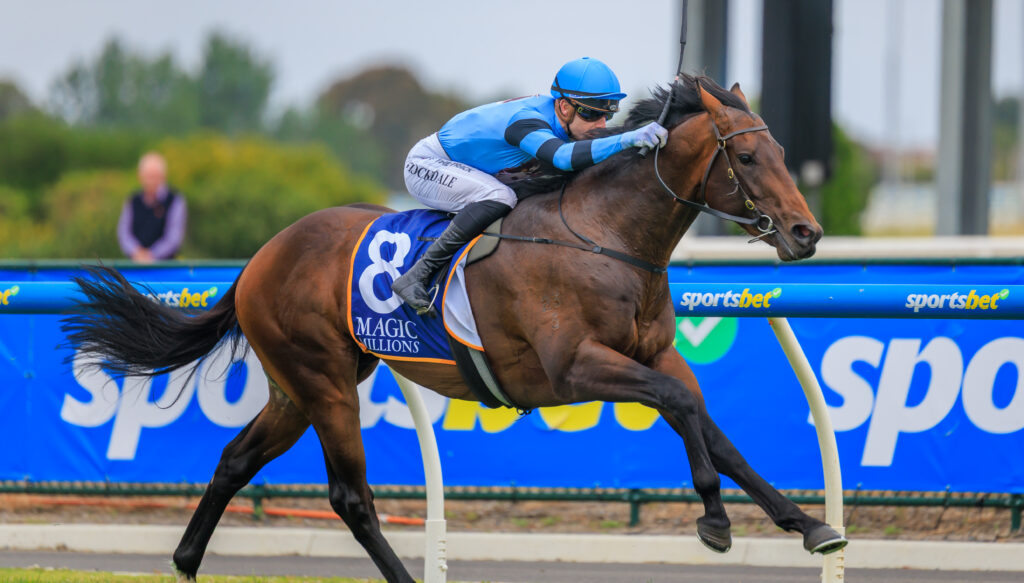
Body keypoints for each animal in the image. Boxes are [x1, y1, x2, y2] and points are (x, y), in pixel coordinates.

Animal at [64, 74, 844, 583]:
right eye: (748, 157)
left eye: (781, 153)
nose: (806, 232)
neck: (605, 236)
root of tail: (260, 257)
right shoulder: (574, 367)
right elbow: (683, 410)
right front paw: (714, 520)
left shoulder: (654, 354)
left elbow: (713, 427)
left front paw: (809, 526)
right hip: (325, 382)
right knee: (350, 497)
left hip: (299, 385)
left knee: (233, 459)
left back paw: (186, 562)